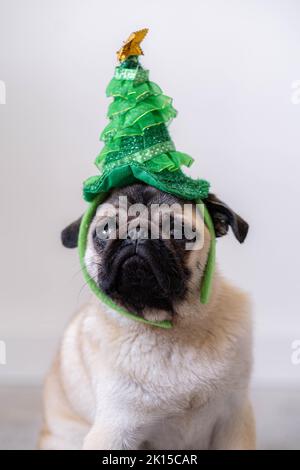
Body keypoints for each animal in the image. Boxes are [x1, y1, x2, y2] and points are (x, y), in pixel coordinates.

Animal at [38, 183, 255, 448]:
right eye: (106, 229)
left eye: (177, 230)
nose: (138, 232)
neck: (170, 330)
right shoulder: (114, 431)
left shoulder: (234, 420)